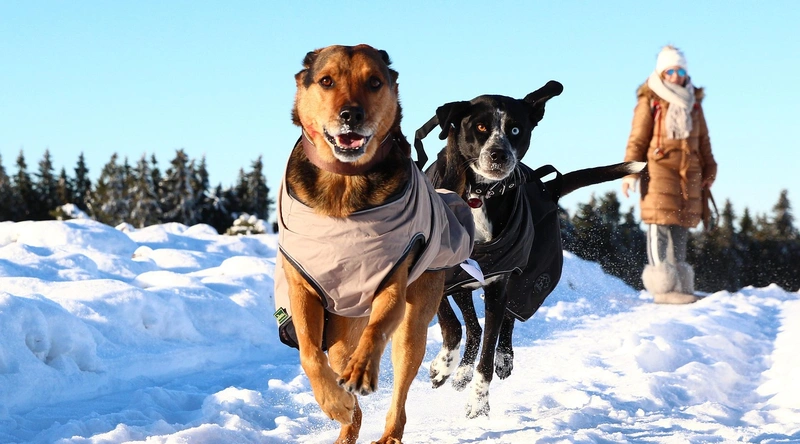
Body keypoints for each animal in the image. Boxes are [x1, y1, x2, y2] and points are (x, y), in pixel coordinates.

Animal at [273, 44, 474, 443]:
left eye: (375, 82)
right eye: (326, 81)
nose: (351, 115)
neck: (345, 183)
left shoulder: (393, 278)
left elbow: (378, 328)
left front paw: (362, 371)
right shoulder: (303, 285)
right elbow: (309, 353)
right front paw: (335, 402)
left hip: (415, 314)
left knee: (401, 380)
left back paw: (389, 431)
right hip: (341, 328)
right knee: (343, 372)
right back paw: (346, 419)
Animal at [415, 81, 646, 418]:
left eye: (515, 129)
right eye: (480, 127)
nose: (498, 155)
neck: (479, 194)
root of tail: (549, 188)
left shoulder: (497, 282)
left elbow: (487, 346)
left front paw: (478, 400)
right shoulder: (430, 274)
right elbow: (452, 325)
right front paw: (444, 367)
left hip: (528, 276)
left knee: (506, 318)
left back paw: (501, 359)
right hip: (466, 282)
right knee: (472, 327)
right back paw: (460, 371)